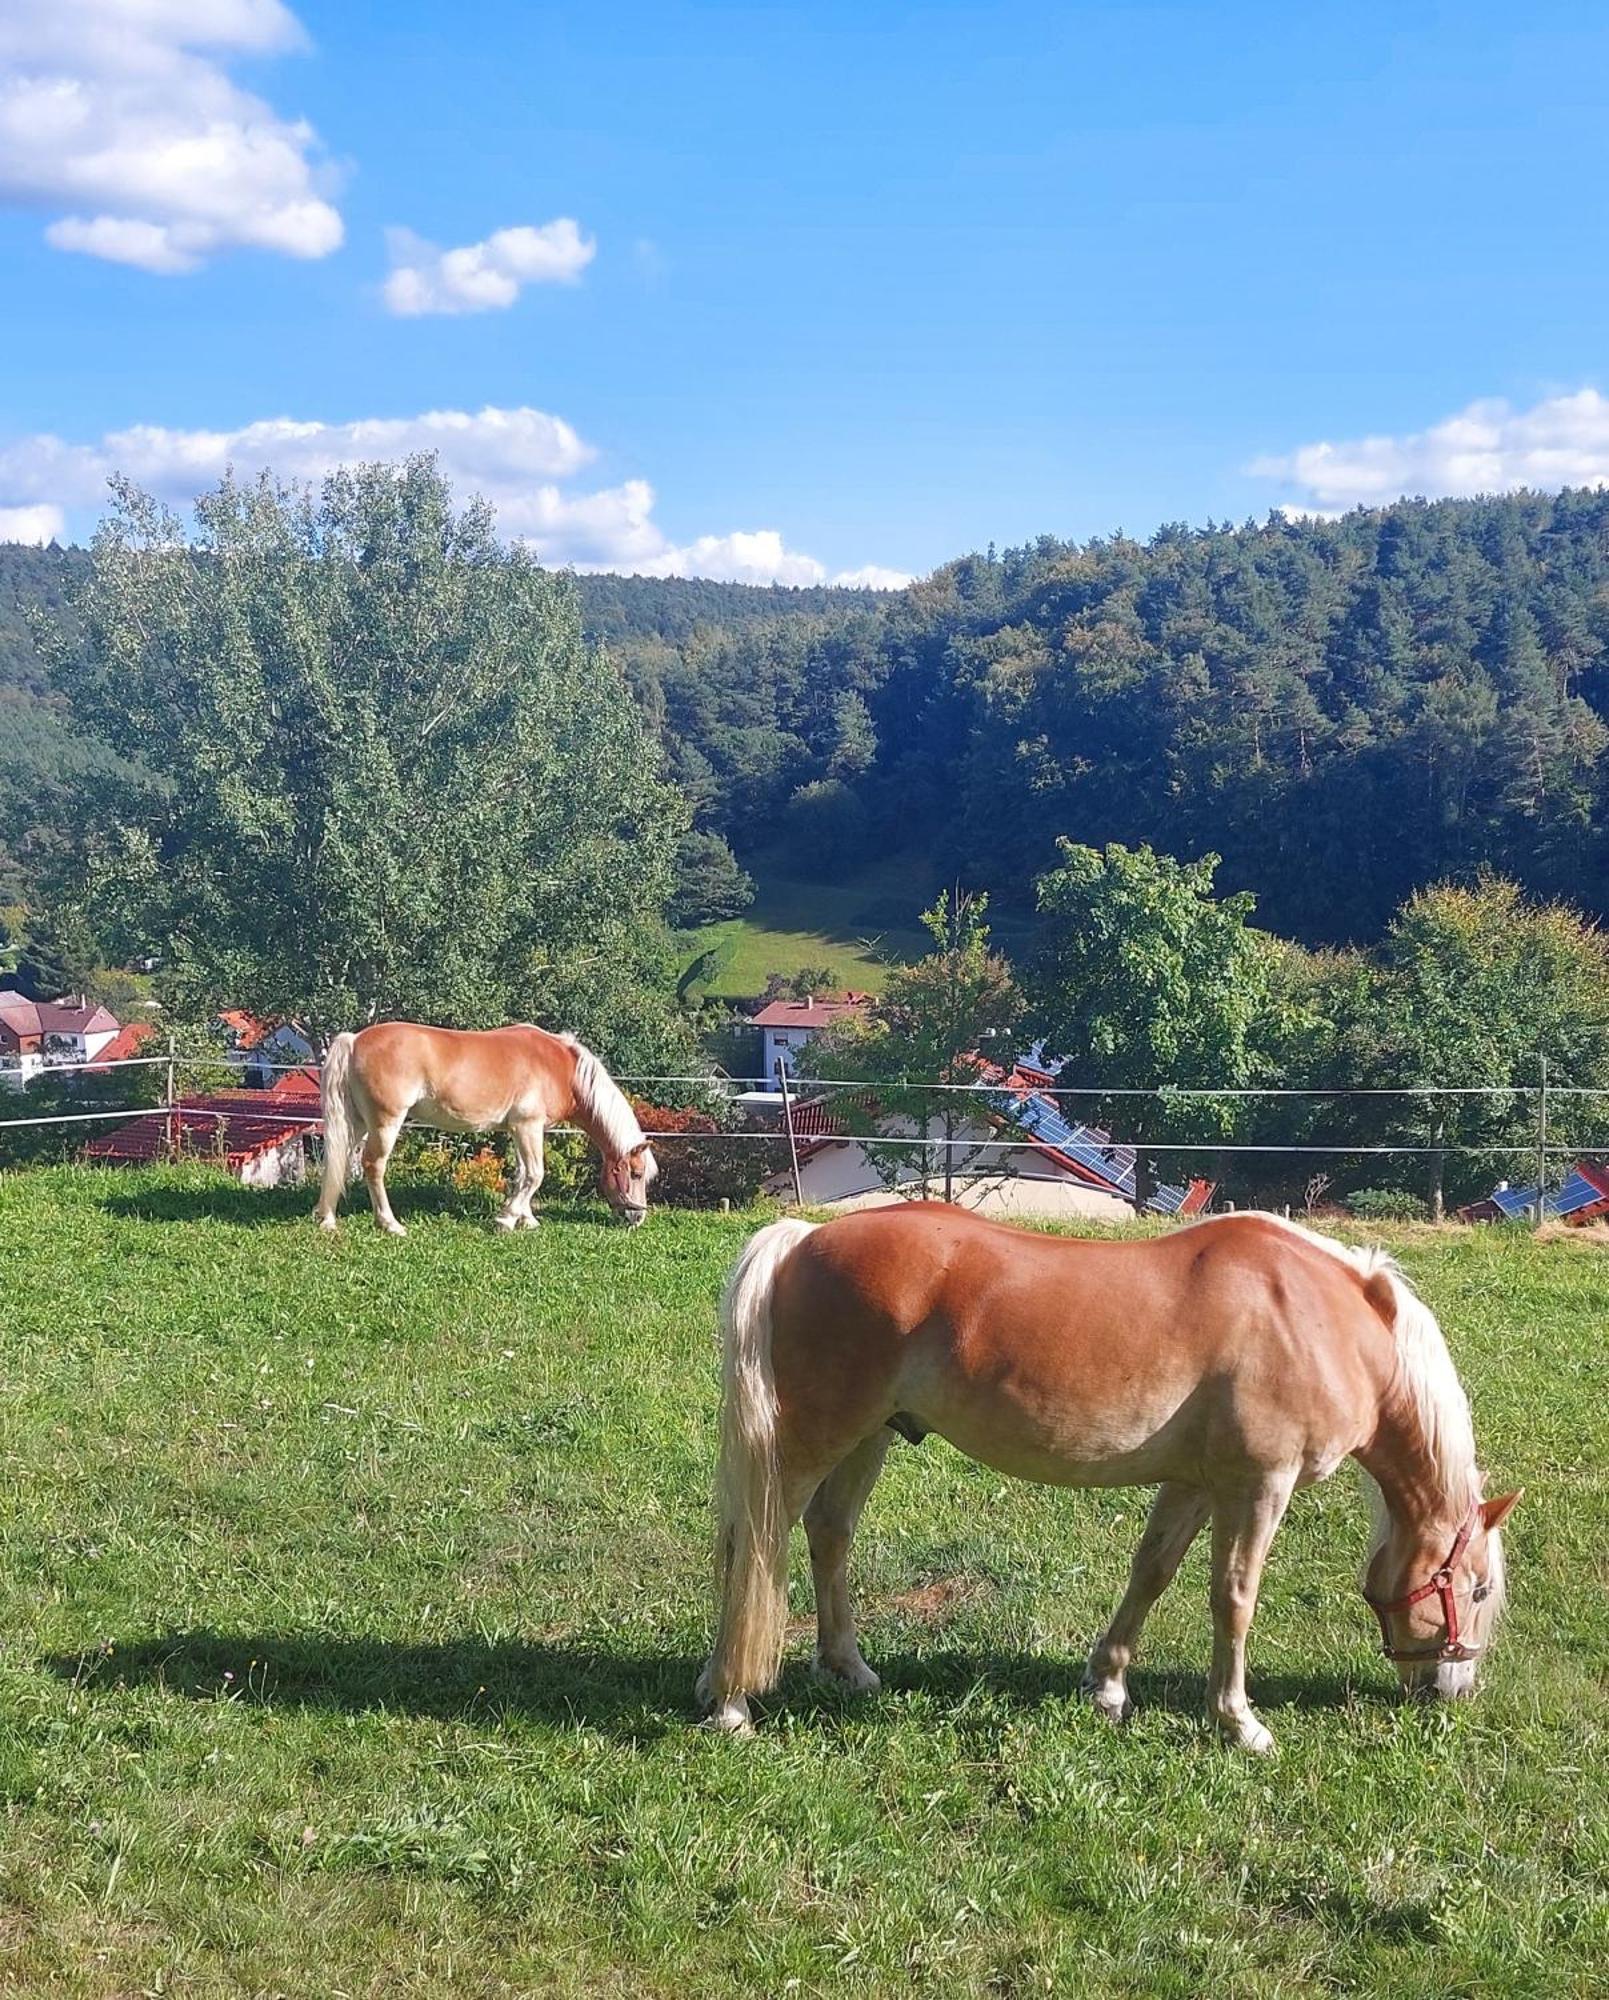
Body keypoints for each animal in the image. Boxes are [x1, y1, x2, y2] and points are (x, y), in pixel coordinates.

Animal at [314, 1032, 652, 1232]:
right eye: (635, 1173)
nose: (638, 1217)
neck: (560, 1066)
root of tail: (354, 1039)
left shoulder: (519, 1130)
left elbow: (522, 1175)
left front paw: (526, 1219)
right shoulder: (528, 1126)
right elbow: (535, 1175)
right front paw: (506, 1219)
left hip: (357, 1124)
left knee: (338, 1163)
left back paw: (327, 1218)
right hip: (386, 1123)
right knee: (374, 1166)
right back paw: (390, 1223)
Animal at [696, 1200, 1512, 1752]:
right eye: (1474, 1589)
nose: (1455, 1688)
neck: (1316, 1316)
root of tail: (802, 1239)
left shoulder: (1195, 1482)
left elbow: (1150, 1573)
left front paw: (1108, 1686)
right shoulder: (1258, 1486)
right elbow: (1233, 1599)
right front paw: (1238, 1721)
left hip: (869, 1438)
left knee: (827, 1533)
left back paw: (847, 1668)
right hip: (814, 1439)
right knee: (754, 1544)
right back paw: (730, 1702)